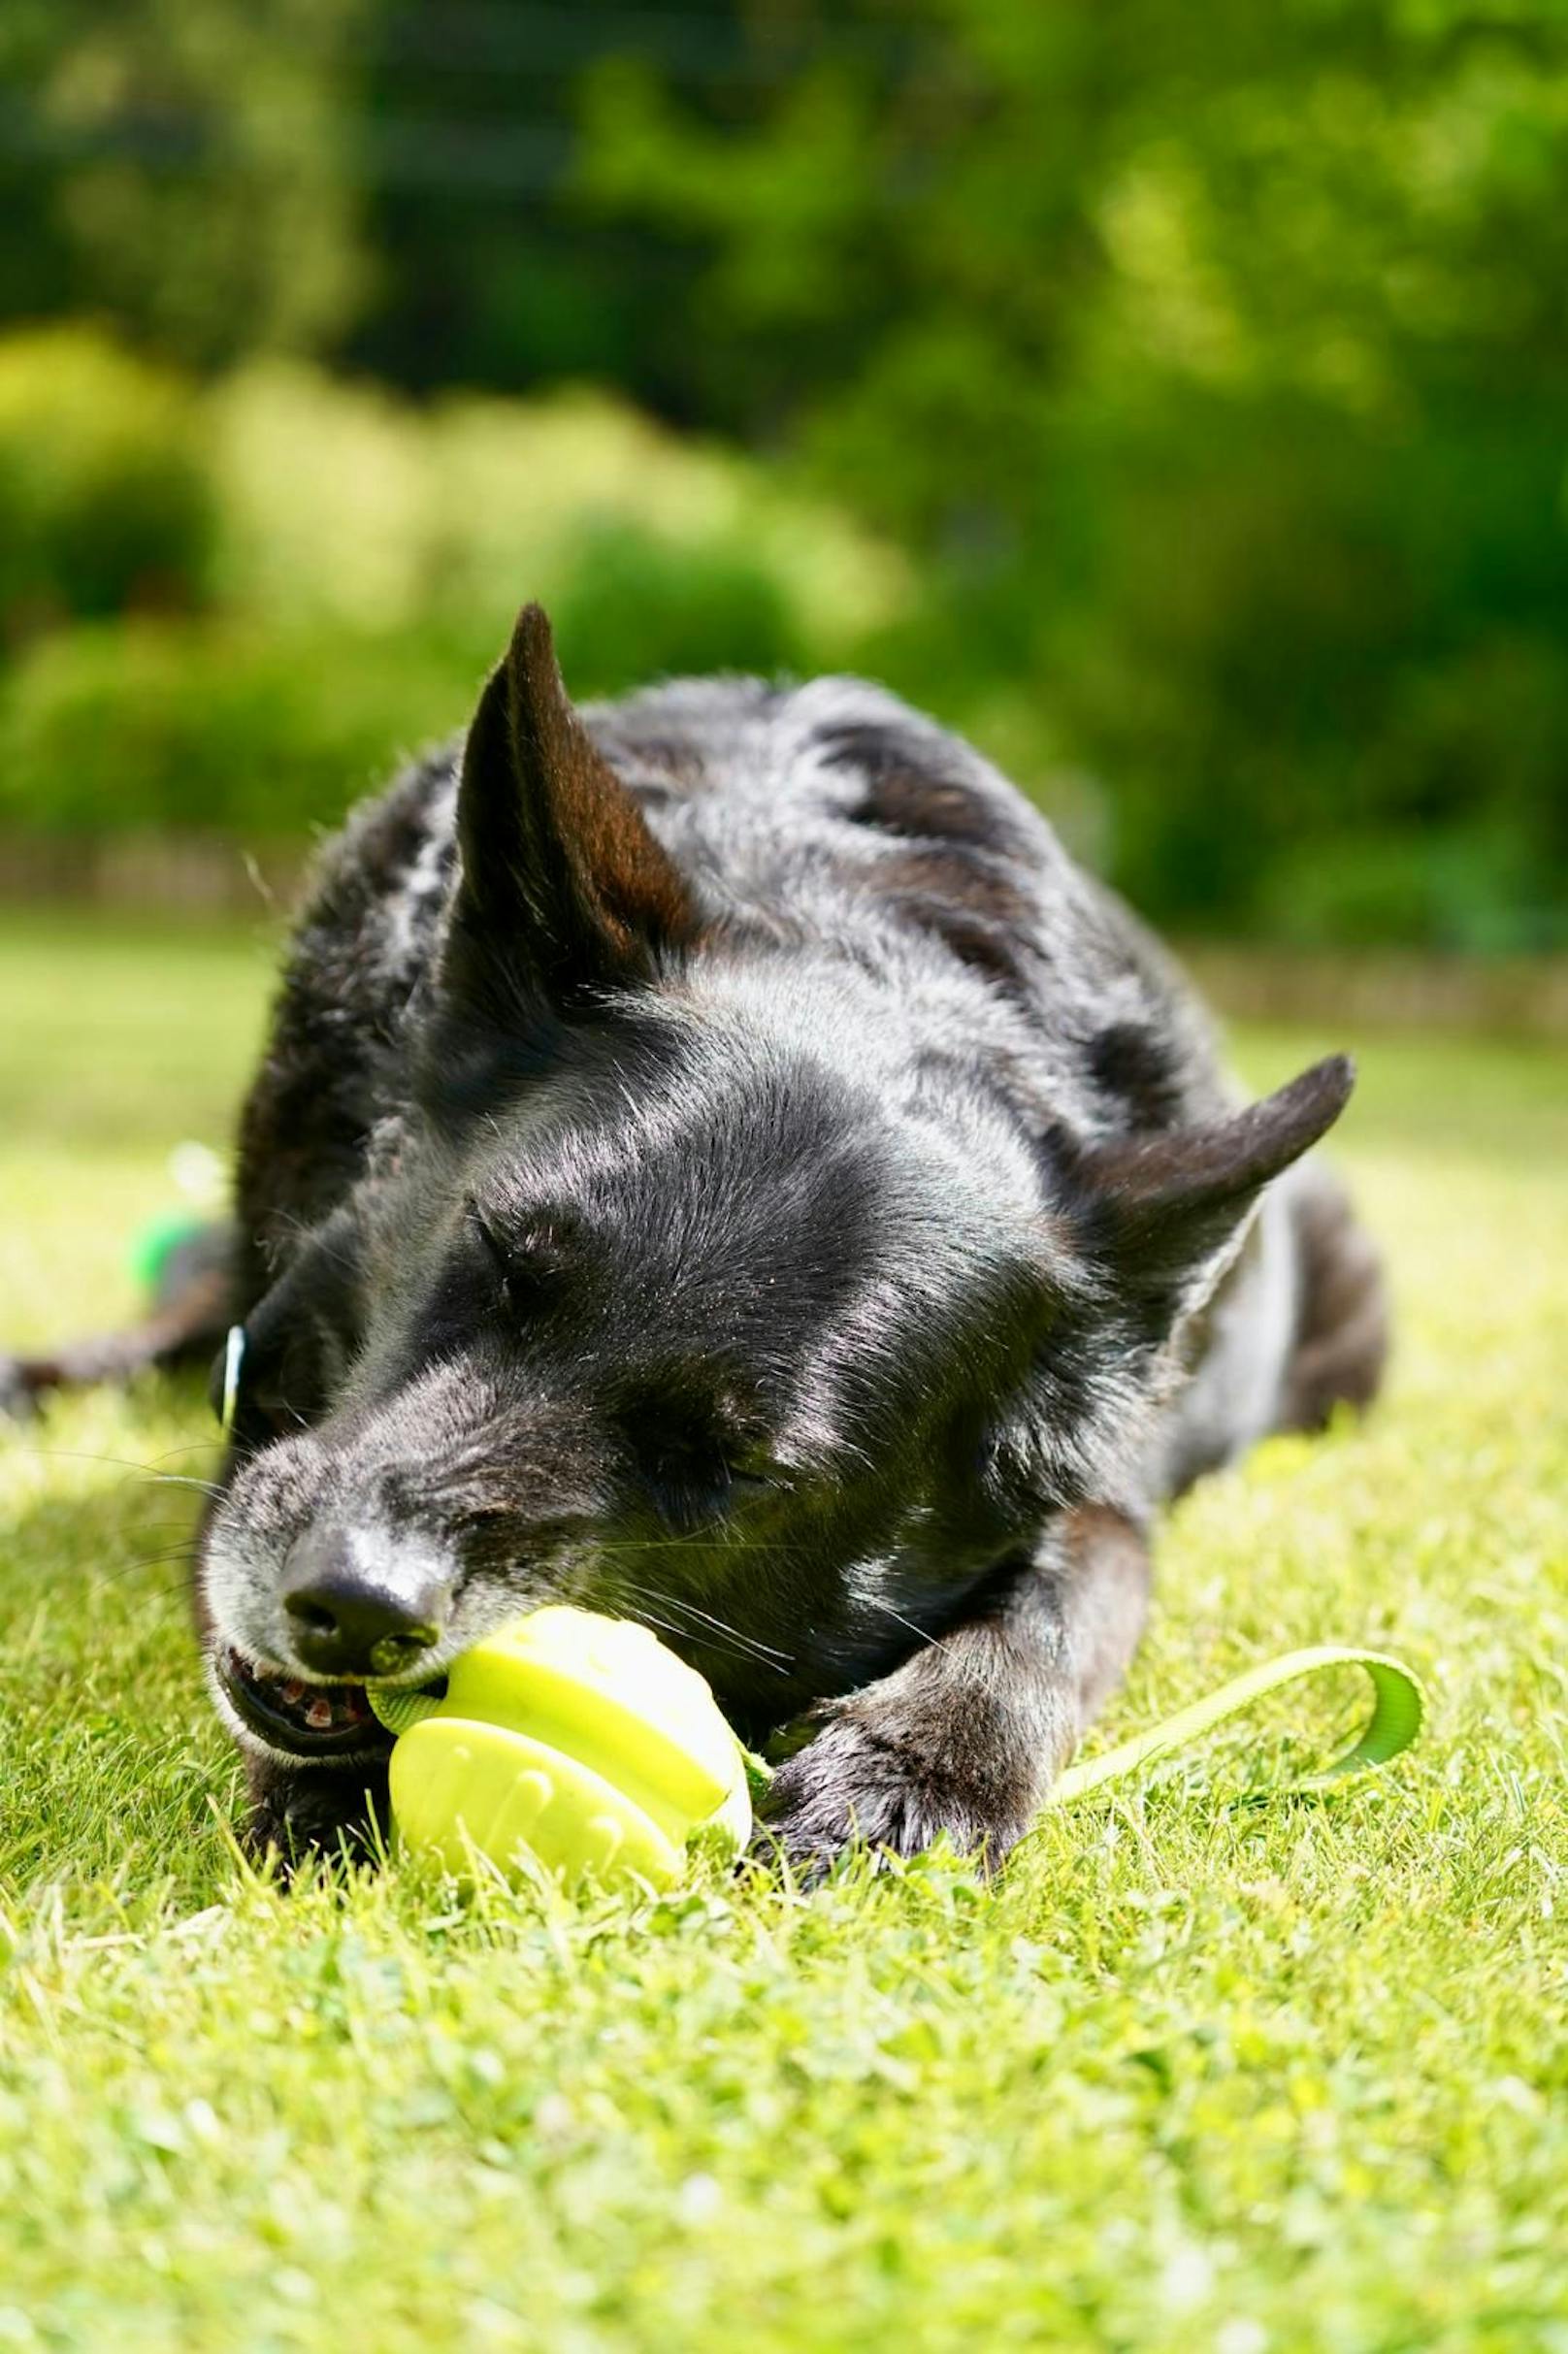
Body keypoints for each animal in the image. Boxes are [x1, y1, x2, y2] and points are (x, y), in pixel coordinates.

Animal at [9, 611, 1384, 1874]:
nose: (352, 1604)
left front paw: (919, 1760)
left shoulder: (1106, 1502)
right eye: (498, 1256)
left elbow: (1058, 1603)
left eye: (737, 1465)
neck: (860, 931)